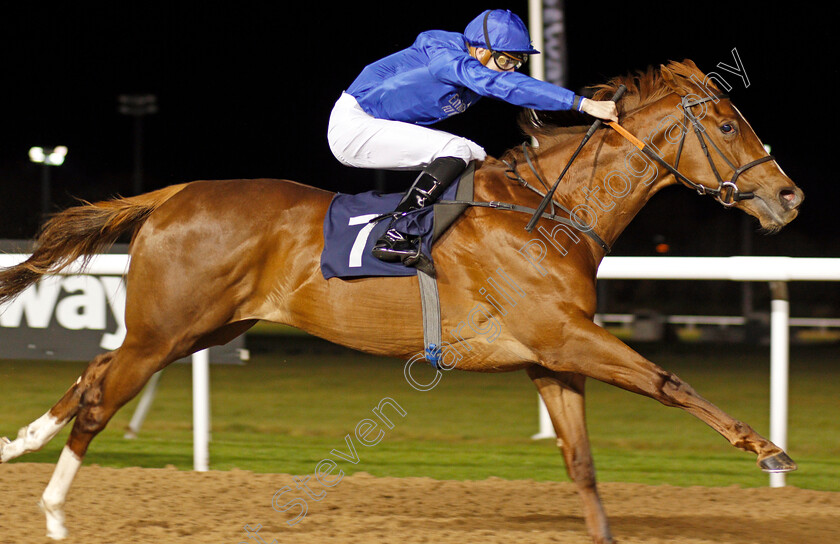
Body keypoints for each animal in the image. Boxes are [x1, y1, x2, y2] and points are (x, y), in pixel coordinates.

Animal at [0, 60, 800, 544]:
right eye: (727, 125)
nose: (788, 196)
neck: (549, 213)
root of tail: (171, 193)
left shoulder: (552, 355)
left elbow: (582, 463)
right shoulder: (565, 335)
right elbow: (668, 381)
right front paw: (767, 449)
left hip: (200, 328)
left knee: (94, 372)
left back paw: (19, 445)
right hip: (167, 329)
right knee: (101, 394)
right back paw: (54, 510)